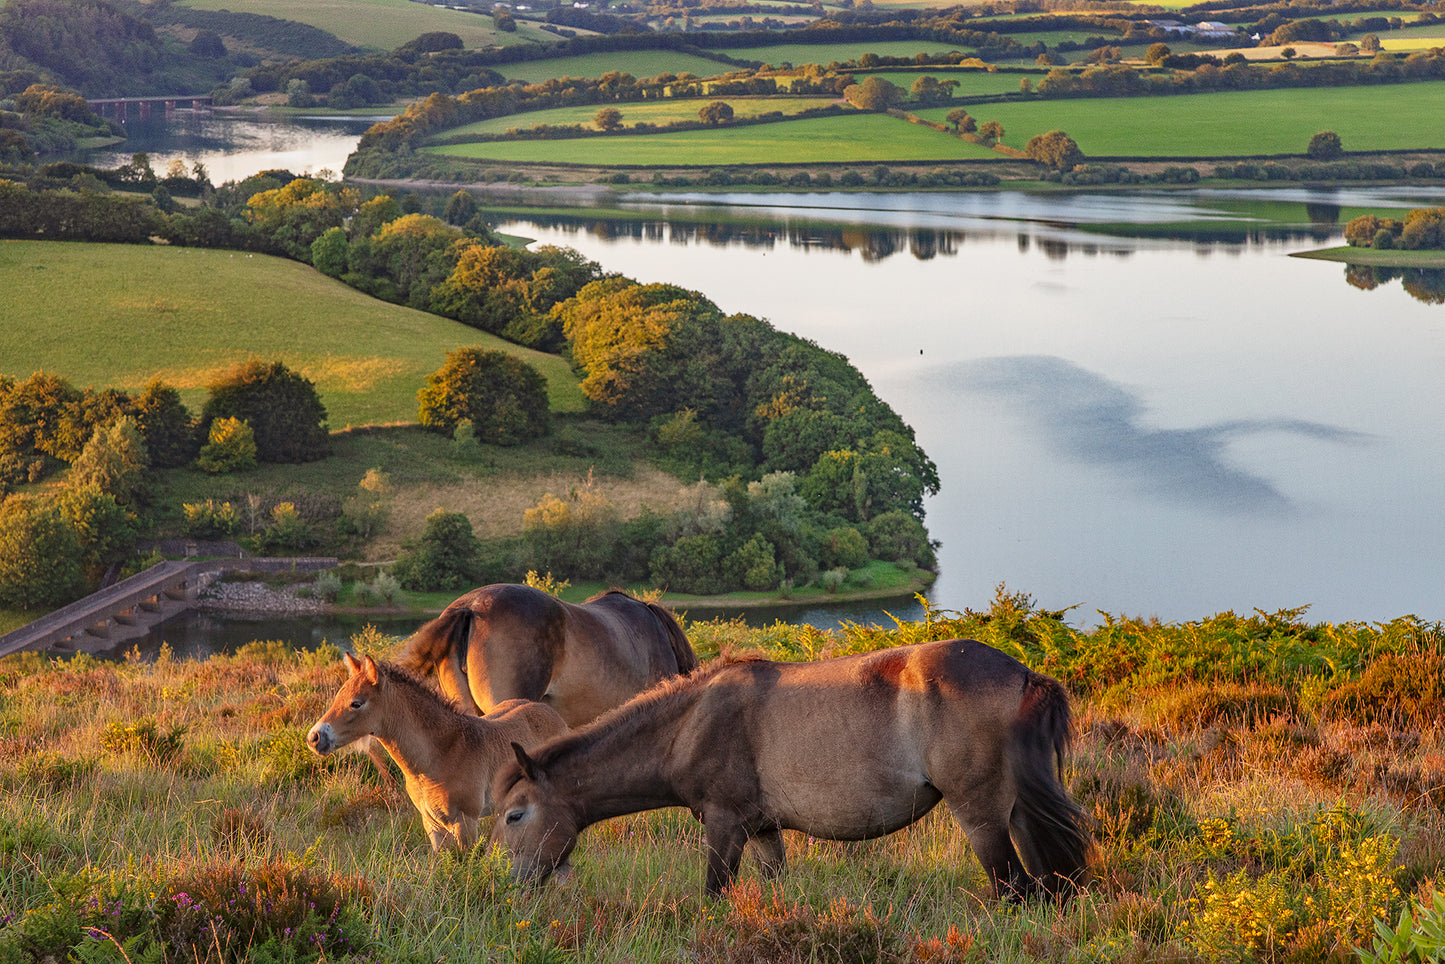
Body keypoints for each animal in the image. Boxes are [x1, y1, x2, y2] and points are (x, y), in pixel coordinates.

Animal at [307, 652, 567, 852]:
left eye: (356, 703)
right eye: (338, 695)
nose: (314, 737)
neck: (439, 755)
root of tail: (553, 714)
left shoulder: (465, 821)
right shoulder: (431, 824)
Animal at [492, 638, 1093, 901]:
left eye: (516, 815)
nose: (511, 885)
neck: (691, 721)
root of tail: (1022, 674)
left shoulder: (725, 824)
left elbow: (714, 893)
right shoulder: (762, 830)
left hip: (982, 818)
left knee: (1014, 889)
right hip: (1017, 815)